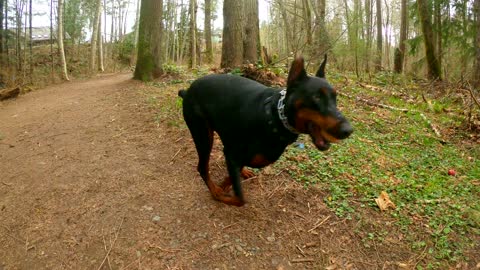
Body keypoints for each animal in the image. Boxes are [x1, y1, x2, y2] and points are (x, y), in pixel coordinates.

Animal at [179, 56, 352, 206]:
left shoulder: (241, 153)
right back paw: (215, 192)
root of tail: (188, 91)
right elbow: (240, 198)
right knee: (202, 168)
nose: (348, 130)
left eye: (335, 98)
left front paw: (228, 181)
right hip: (202, 134)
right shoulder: (232, 153)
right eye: (316, 97)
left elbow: (237, 170)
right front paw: (221, 191)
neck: (274, 117)